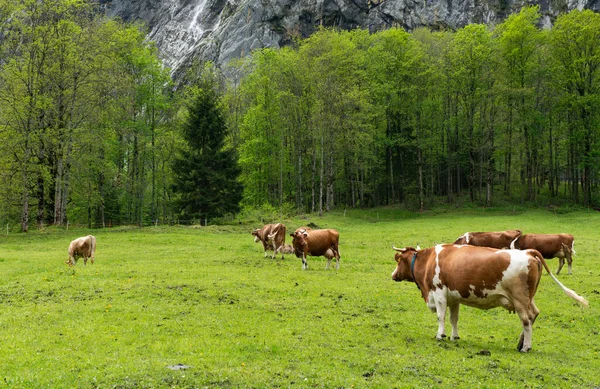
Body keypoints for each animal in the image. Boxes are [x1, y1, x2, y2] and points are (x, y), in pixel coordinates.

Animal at [392, 246, 588, 352]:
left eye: (398, 261)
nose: (393, 275)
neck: (429, 260)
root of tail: (528, 252)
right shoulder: (454, 297)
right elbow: (454, 318)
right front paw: (454, 336)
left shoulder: (439, 292)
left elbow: (441, 316)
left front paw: (440, 335)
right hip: (529, 299)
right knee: (534, 315)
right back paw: (520, 343)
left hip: (520, 301)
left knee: (527, 321)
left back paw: (526, 346)